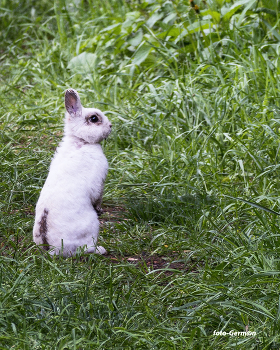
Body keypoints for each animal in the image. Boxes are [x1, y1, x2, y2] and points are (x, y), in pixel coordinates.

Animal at [32, 88, 111, 258]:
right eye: (94, 118)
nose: (110, 126)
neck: (81, 140)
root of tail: (52, 249)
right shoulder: (98, 183)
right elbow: (97, 197)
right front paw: (100, 210)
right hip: (91, 228)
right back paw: (100, 250)